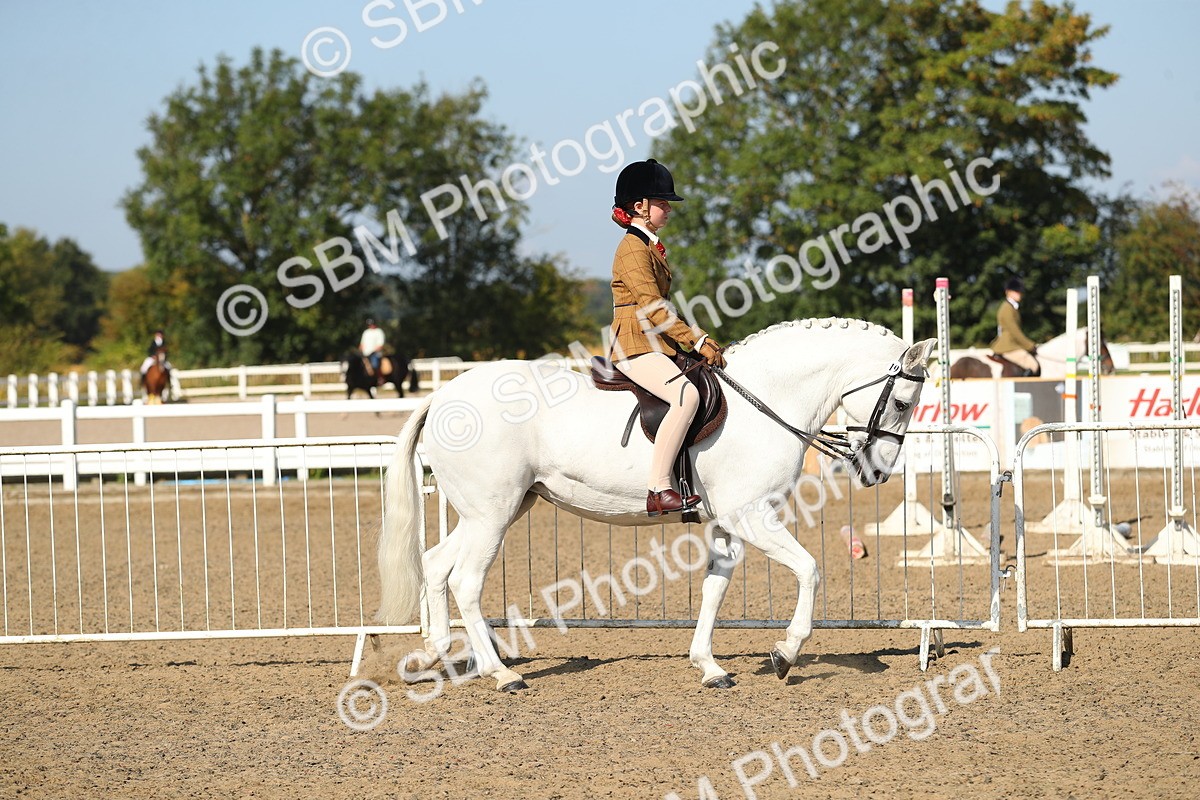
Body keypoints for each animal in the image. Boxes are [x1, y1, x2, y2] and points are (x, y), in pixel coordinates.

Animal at [376, 319, 938, 692]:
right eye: (903, 403)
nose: (878, 472)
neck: (769, 398)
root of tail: (444, 394)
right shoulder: (752, 516)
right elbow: (810, 569)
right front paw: (784, 653)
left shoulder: (727, 524)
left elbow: (714, 589)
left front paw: (709, 667)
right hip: (492, 515)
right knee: (467, 582)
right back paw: (500, 673)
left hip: (497, 511)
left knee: (436, 565)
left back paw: (444, 655)